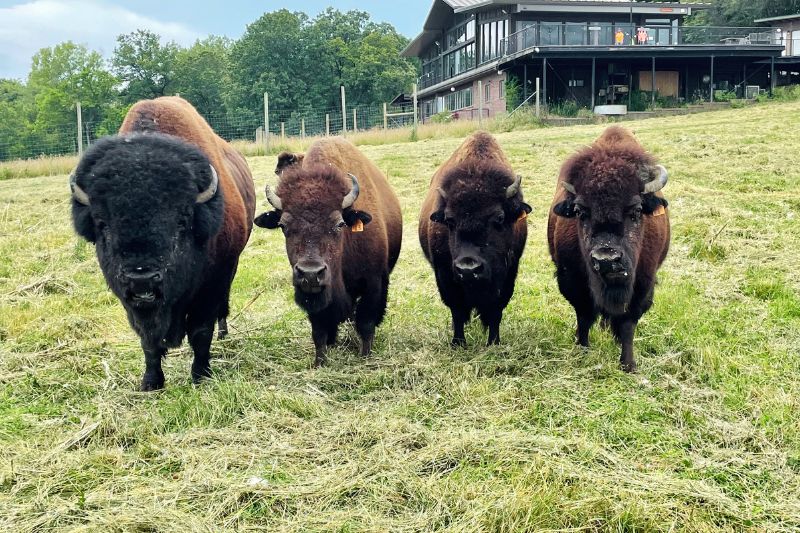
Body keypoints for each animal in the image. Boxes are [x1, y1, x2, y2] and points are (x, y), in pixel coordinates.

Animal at [70, 96, 256, 390]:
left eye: (182, 220)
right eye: (102, 224)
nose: (142, 279)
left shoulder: (212, 284)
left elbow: (201, 331)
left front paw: (200, 376)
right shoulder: (133, 305)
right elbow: (147, 341)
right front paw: (151, 382)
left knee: (222, 309)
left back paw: (224, 335)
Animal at [255, 138, 402, 366]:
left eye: (339, 224)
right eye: (283, 225)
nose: (310, 273)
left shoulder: (373, 283)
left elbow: (366, 323)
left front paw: (365, 356)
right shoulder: (313, 297)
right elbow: (319, 331)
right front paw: (320, 362)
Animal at [419, 132, 531, 346]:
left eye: (500, 218)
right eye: (449, 220)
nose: (468, 268)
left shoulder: (508, 275)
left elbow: (496, 310)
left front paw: (493, 342)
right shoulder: (445, 276)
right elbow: (456, 310)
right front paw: (458, 342)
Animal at [548, 126, 670, 372]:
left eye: (636, 211)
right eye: (580, 212)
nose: (606, 259)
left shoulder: (643, 285)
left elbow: (627, 324)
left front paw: (628, 364)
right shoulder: (573, 282)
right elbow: (584, 317)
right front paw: (582, 350)